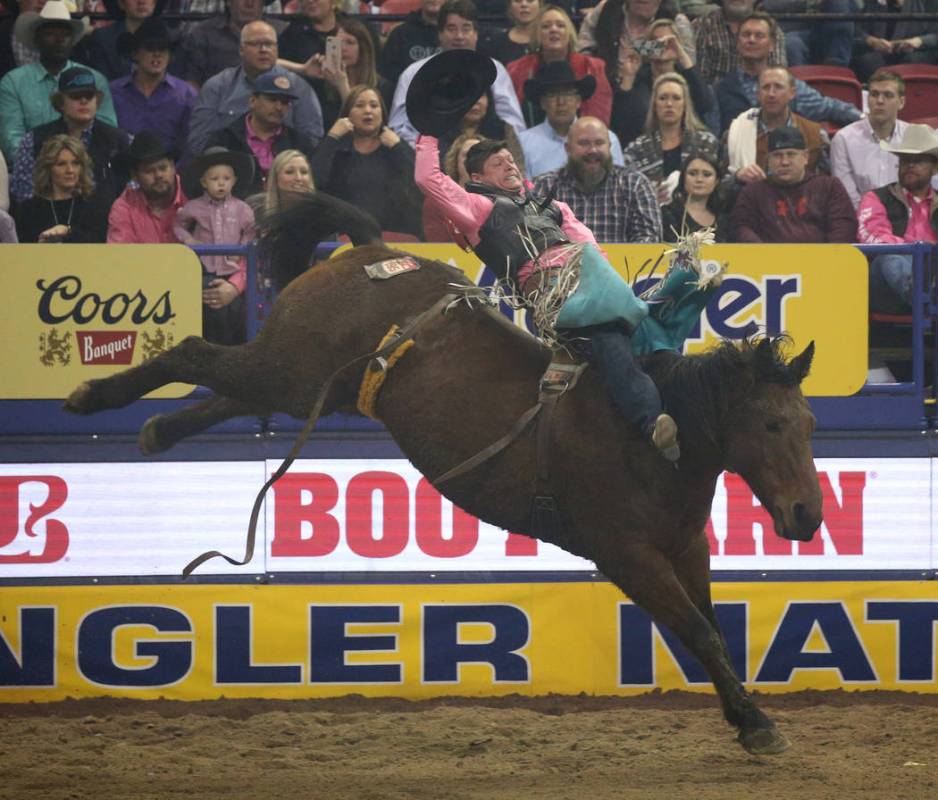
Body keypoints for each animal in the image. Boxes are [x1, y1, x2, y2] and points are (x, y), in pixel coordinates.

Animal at [66, 194, 820, 756]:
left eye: (809, 423)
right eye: (771, 424)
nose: (808, 515)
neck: (658, 438)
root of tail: (371, 250)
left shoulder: (686, 547)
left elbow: (713, 628)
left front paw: (745, 715)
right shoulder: (628, 554)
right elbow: (695, 630)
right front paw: (758, 725)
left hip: (314, 385)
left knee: (230, 393)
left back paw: (155, 430)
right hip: (290, 364)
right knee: (197, 353)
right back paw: (92, 397)